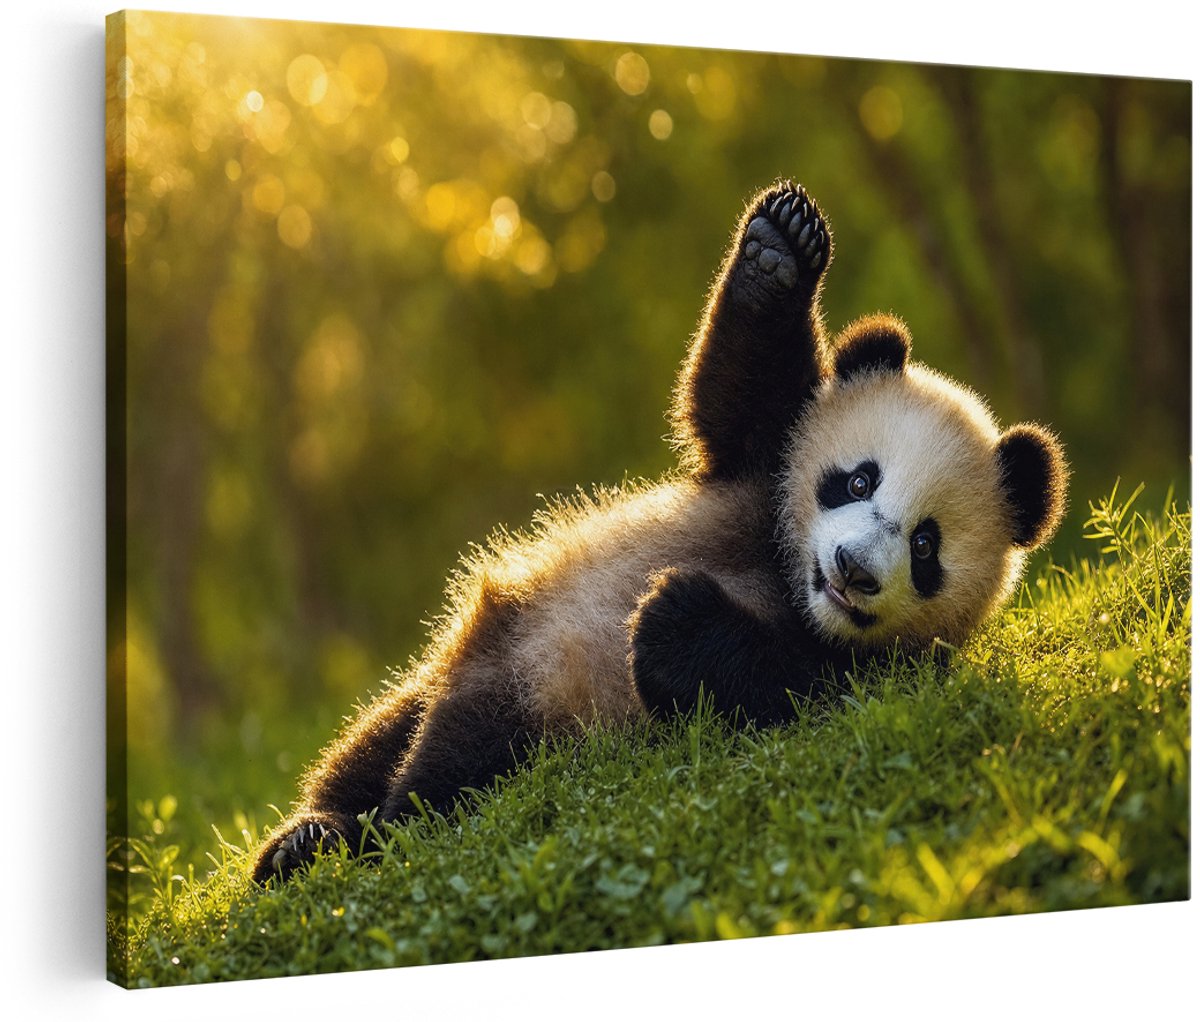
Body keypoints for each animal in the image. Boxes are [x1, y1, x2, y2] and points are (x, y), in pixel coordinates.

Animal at [253, 181, 1068, 884]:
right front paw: (780, 249)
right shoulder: (758, 469)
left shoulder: (889, 674)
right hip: (488, 645)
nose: (853, 569)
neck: (785, 578)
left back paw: (373, 831)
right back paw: (310, 838)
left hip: (535, 720)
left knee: (463, 765)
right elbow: (732, 396)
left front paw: (676, 621)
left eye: (926, 546)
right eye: (859, 480)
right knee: (384, 736)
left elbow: (804, 693)